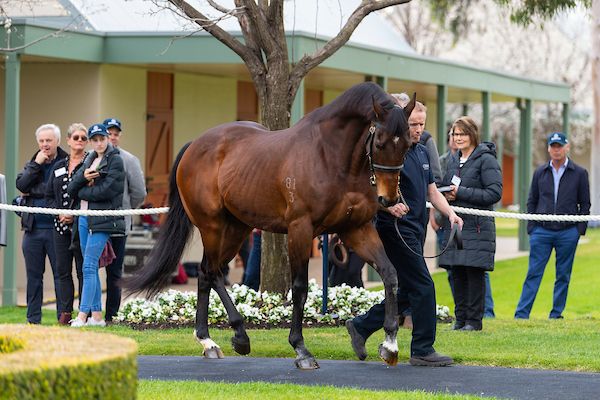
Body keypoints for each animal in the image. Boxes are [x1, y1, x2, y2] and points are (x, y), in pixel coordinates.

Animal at [126, 82, 414, 369]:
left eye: (408, 144)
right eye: (380, 142)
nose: (389, 199)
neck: (331, 157)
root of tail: (194, 146)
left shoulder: (357, 228)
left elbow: (390, 274)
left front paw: (390, 344)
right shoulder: (300, 229)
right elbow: (299, 288)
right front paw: (300, 349)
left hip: (237, 229)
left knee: (208, 273)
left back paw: (213, 340)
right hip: (213, 227)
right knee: (212, 272)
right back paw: (231, 336)